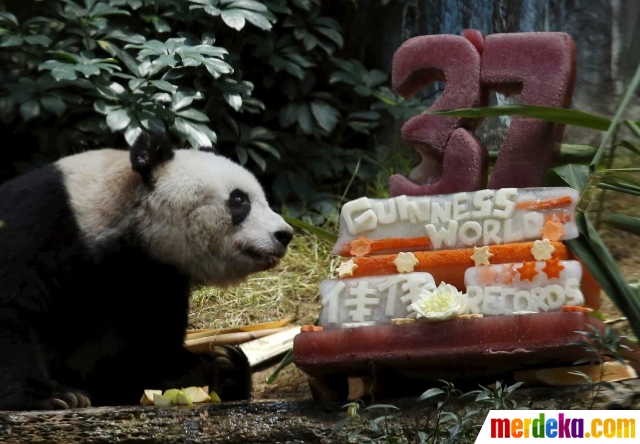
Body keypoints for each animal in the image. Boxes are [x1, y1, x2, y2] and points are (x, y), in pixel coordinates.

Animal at [0, 133, 293, 410]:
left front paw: (226, 367)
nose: (285, 234)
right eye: (239, 199)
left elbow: (144, 357)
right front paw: (50, 396)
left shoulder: (155, 278)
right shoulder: (42, 224)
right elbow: (12, 308)